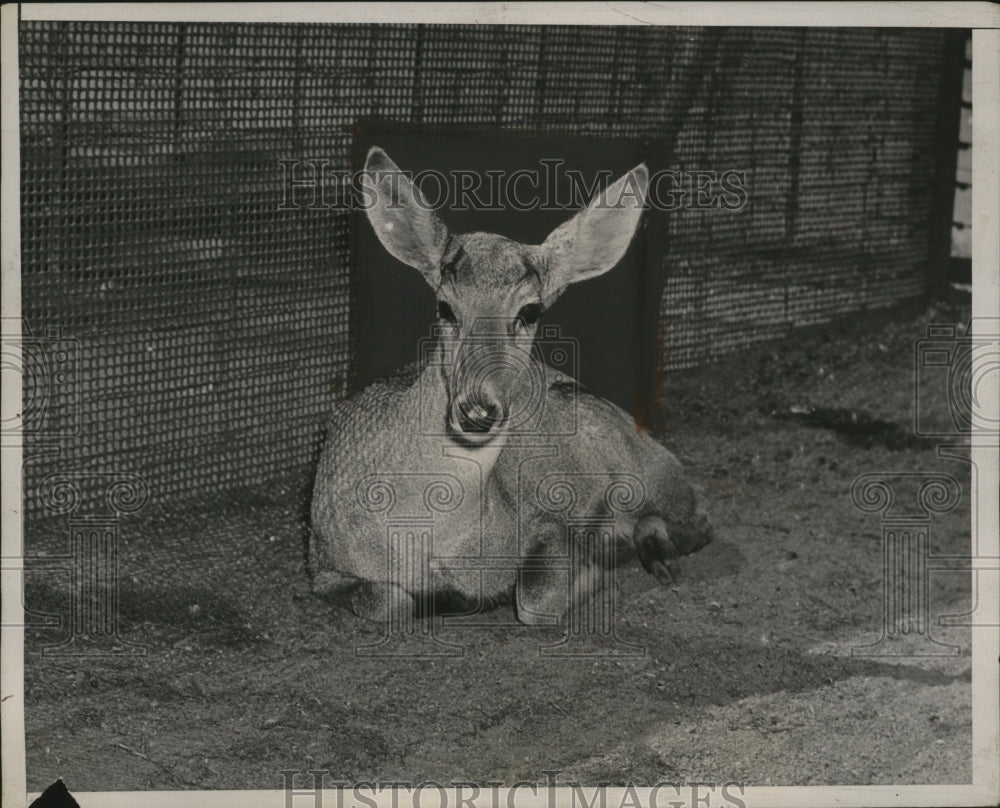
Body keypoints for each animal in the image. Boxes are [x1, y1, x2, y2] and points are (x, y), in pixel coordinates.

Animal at [309, 146, 713, 626]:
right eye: (445, 307)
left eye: (530, 311)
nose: (478, 410)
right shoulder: (321, 559)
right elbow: (385, 601)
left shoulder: (544, 519)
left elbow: (535, 599)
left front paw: (594, 568)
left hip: (641, 465)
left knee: (698, 517)